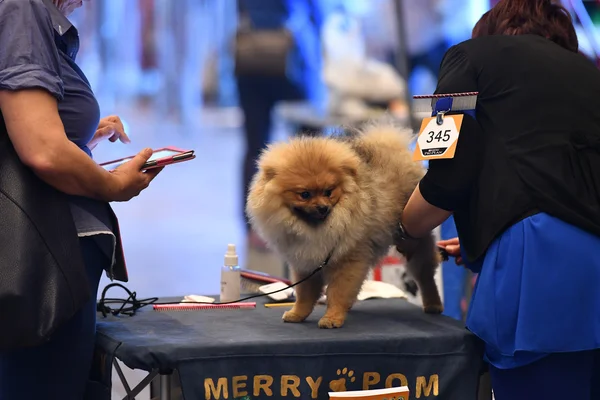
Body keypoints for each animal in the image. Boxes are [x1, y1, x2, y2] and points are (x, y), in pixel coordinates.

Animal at [244, 124, 440, 328]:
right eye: (304, 194)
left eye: (328, 192)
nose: (322, 207)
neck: (315, 228)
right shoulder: (306, 262)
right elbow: (305, 294)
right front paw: (297, 314)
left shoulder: (347, 260)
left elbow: (338, 292)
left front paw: (332, 318)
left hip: (416, 243)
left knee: (425, 275)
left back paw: (433, 304)